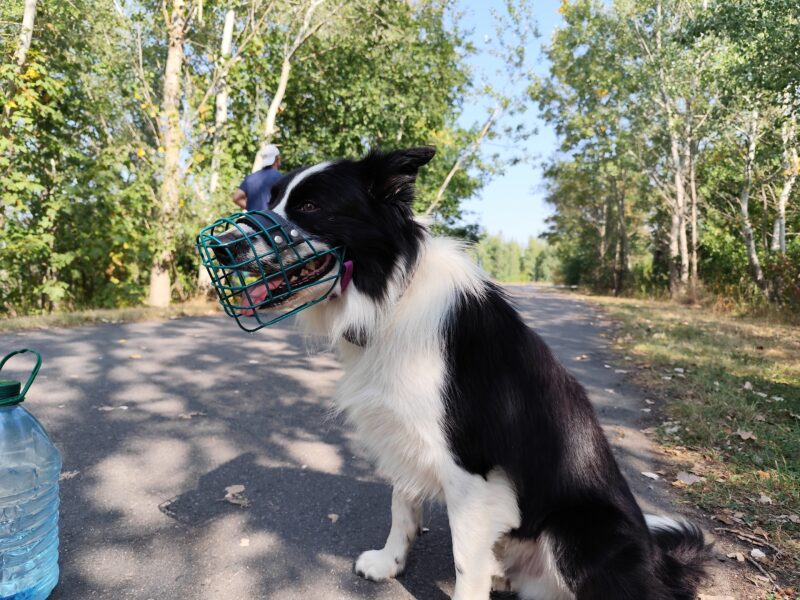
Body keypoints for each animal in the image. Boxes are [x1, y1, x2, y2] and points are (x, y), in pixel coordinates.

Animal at [217, 146, 708, 600]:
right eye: (272, 199)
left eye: (310, 207)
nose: (223, 248)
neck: (391, 298)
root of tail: (661, 564)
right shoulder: (404, 435)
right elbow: (401, 506)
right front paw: (389, 563)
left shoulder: (471, 472)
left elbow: (464, 562)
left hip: (578, 534)